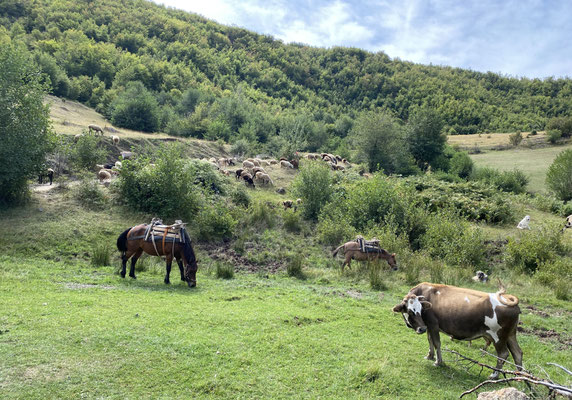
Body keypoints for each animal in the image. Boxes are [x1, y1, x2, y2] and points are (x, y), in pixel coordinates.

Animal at [394, 282, 524, 378]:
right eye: (410, 311)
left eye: (420, 309)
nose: (421, 329)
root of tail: (508, 299)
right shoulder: (428, 326)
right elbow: (429, 340)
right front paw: (429, 356)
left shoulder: (433, 325)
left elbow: (436, 343)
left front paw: (438, 362)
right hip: (510, 335)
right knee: (517, 353)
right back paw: (520, 376)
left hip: (499, 337)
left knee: (503, 354)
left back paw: (494, 375)